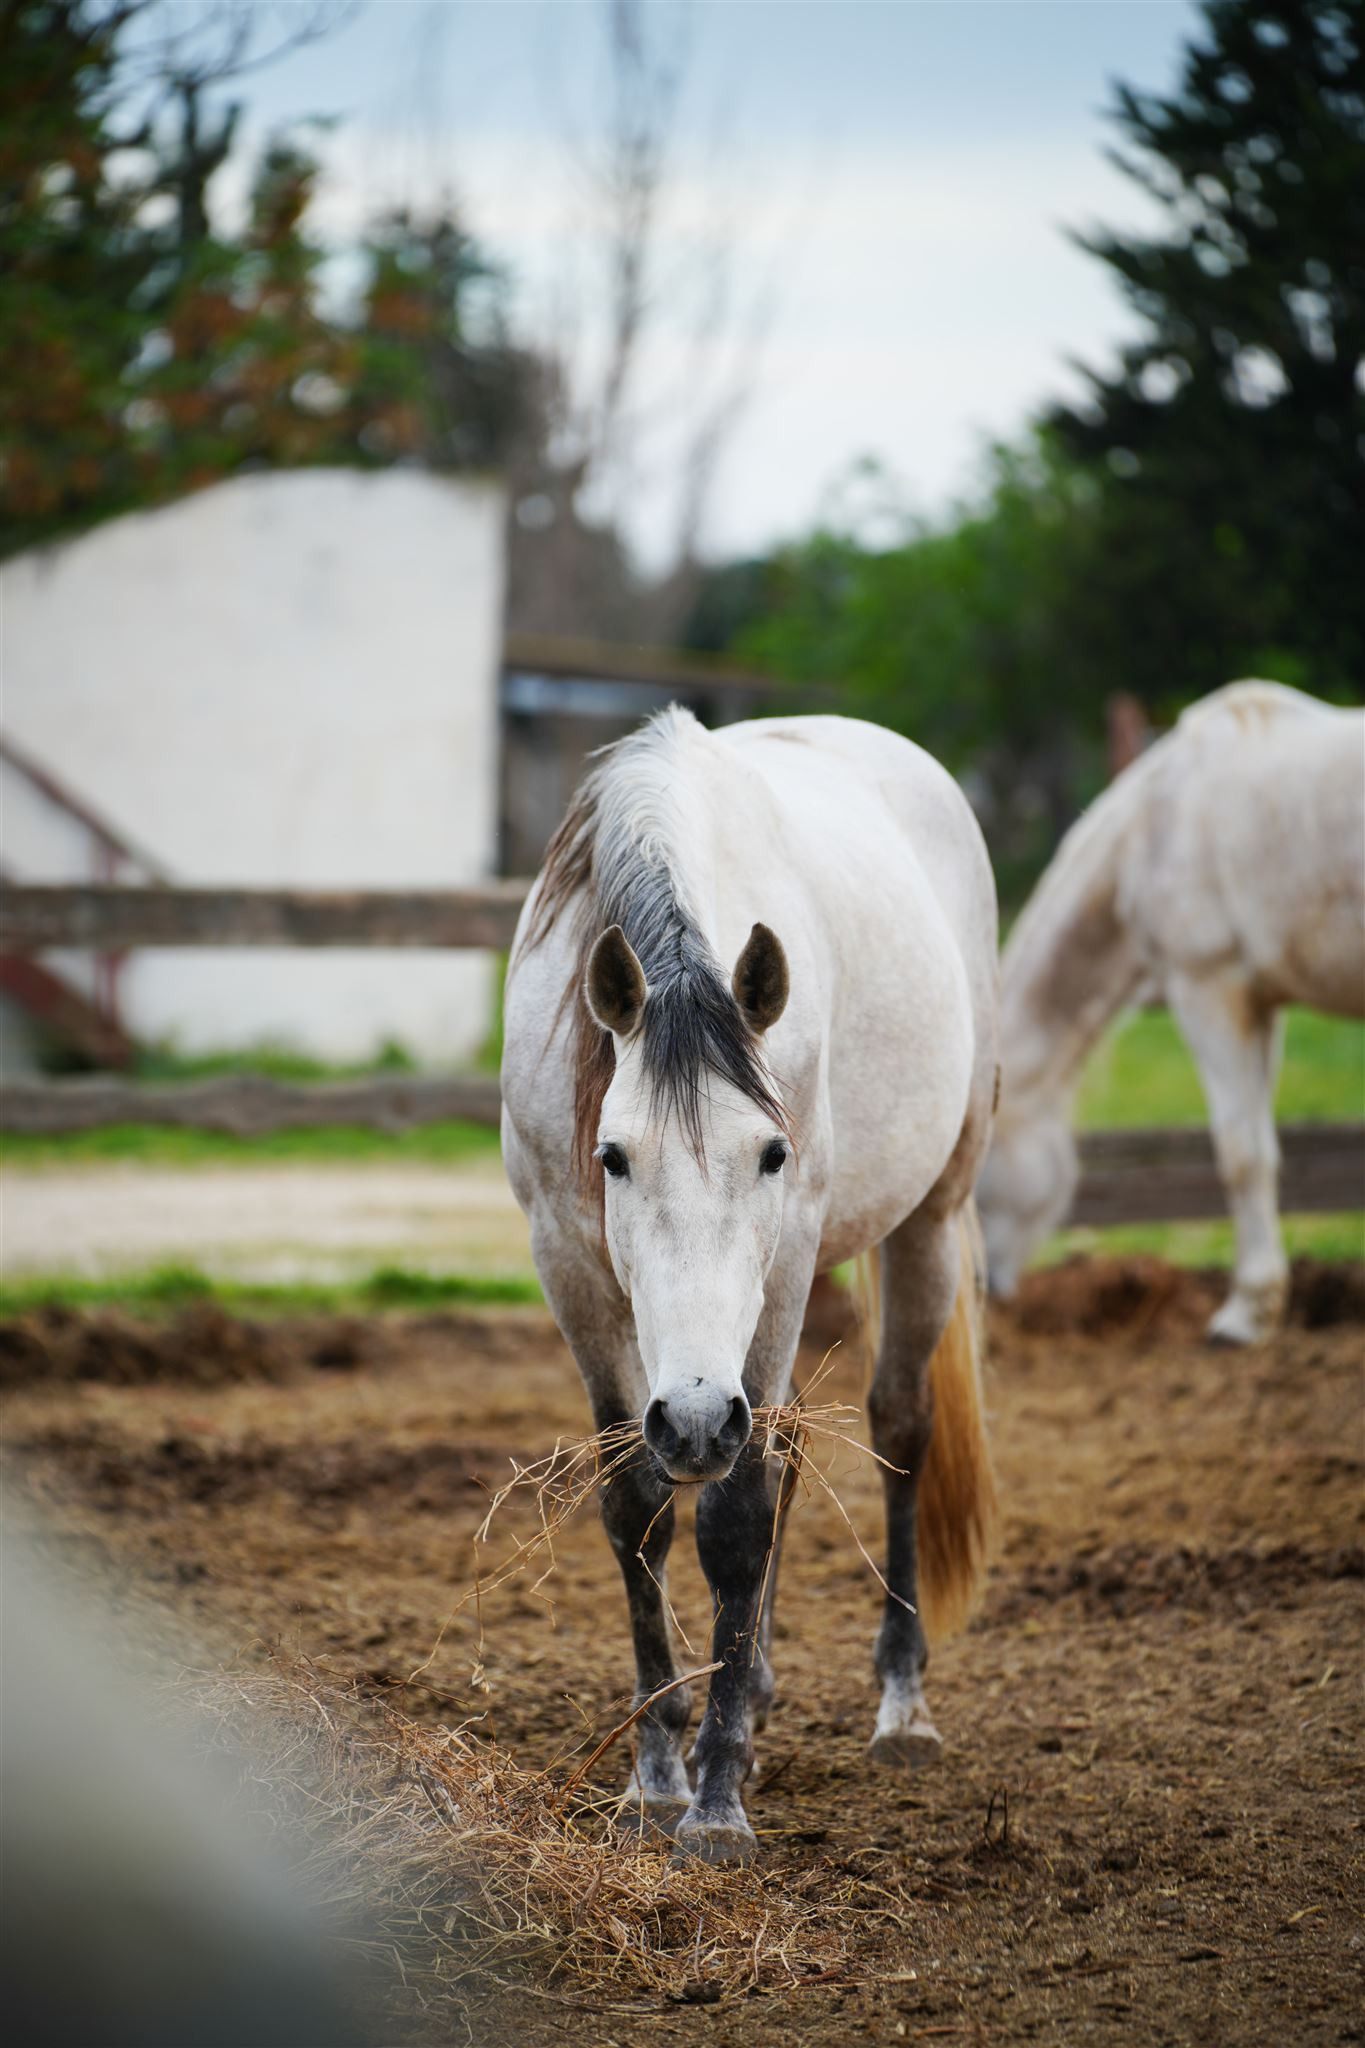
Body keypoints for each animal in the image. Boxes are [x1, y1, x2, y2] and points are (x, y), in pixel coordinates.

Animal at [500, 706, 999, 1865]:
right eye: (612, 1157)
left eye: (771, 1154)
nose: (691, 1419)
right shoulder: (570, 1270)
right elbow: (637, 1508)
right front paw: (653, 1775)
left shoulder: (780, 1268)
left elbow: (734, 1519)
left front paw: (717, 1801)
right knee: (788, 1445)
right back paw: (757, 1685)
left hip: (926, 1219)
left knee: (892, 1427)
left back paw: (901, 1706)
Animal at [977, 680, 1365, 1346]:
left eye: (976, 1181)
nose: (988, 1287)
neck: (1154, 829)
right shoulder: (1261, 1006)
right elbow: (1264, 1147)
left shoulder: (1208, 990)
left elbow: (1241, 1154)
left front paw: (1245, 1315)